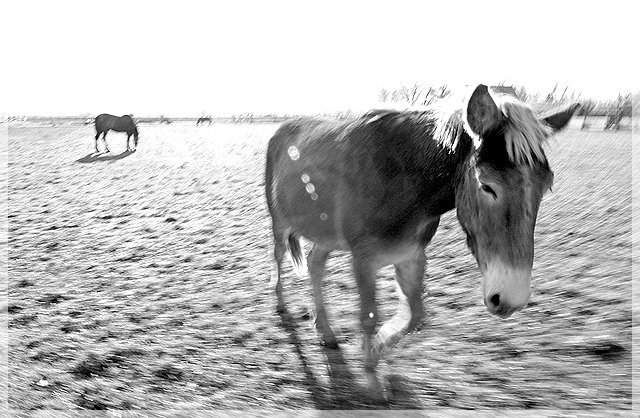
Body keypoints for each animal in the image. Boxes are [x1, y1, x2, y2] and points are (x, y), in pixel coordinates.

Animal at [264, 83, 580, 400]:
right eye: (487, 186)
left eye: (546, 185)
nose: (511, 300)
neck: (402, 181)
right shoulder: (363, 260)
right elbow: (368, 315)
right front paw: (372, 378)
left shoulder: (411, 255)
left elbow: (416, 316)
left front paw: (378, 348)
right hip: (280, 223)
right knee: (278, 257)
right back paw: (280, 303)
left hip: (326, 233)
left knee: (315, 264)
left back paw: (325, 330)